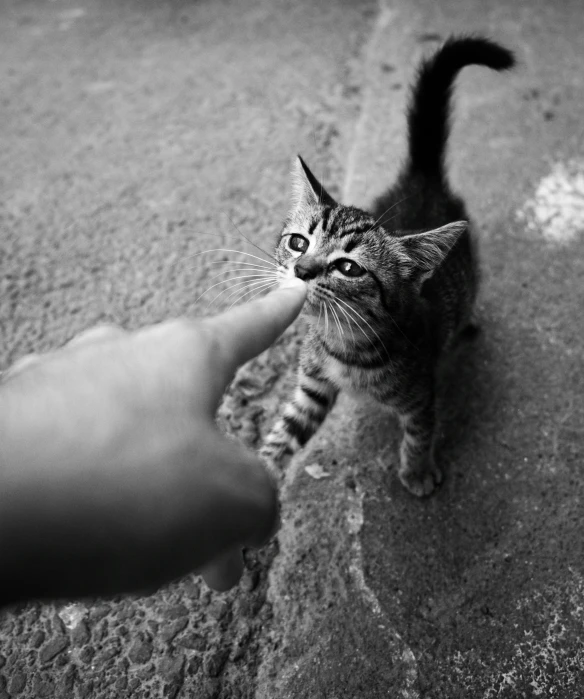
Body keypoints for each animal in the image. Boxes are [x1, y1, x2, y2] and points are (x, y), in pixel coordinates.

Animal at [262, 37, 512, 498]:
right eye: (298, 242)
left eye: (348, 268)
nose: (302, 270)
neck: (344, 345)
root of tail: (423, 178)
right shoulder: (312, 388)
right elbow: (285, 430)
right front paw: (261, 466)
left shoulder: (422, 393)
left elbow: (419, 432)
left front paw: (417, 470)